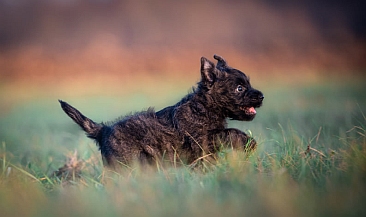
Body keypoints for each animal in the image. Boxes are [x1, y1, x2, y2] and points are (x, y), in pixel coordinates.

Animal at [59, 54, 264, 168]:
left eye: (248, 84)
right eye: (239, 88)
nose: (261, 96)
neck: (204, 107)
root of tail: (104, 130)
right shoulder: (202, 141)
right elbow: (228, 132)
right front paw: (249, 143)